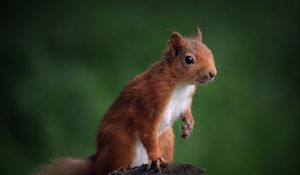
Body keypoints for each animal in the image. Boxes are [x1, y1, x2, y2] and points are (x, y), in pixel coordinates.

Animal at [36, 26, 217, 174]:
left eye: (210, 52)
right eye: (189, 59)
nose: (212, 74)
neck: (180, 84)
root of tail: (97, 160)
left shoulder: (184, 101)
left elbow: (185, 112)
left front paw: (189, 124)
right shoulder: (151, 99)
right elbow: (147, 129)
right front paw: (156, 158)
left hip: (166, 139)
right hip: (121, 142)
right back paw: (122, 168)